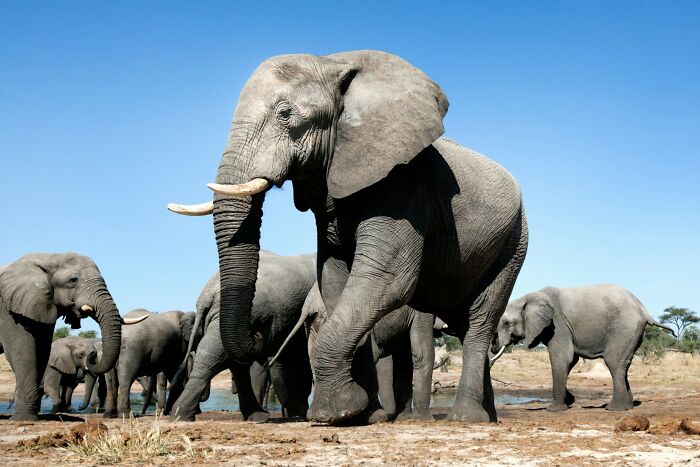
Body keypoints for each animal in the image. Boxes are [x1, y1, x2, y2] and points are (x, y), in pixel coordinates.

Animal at [0, 253, 141, 420]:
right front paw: (24, 419)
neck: (45, 258)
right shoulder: (9, 310)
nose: (93, 355)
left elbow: (42, 351)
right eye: (73, 280)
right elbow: (23, 352)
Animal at [492, 284, 675, 412]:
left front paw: (554, 410)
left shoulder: (557, 324)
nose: (494, 347)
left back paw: (614, 408)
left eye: (506, 323)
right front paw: (569, 400)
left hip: (624, 328)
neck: (526, 297)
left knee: (613, 361)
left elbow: (562, 357)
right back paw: (628, 406)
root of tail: (644, 311)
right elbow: (571, 360)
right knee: (623, 364)